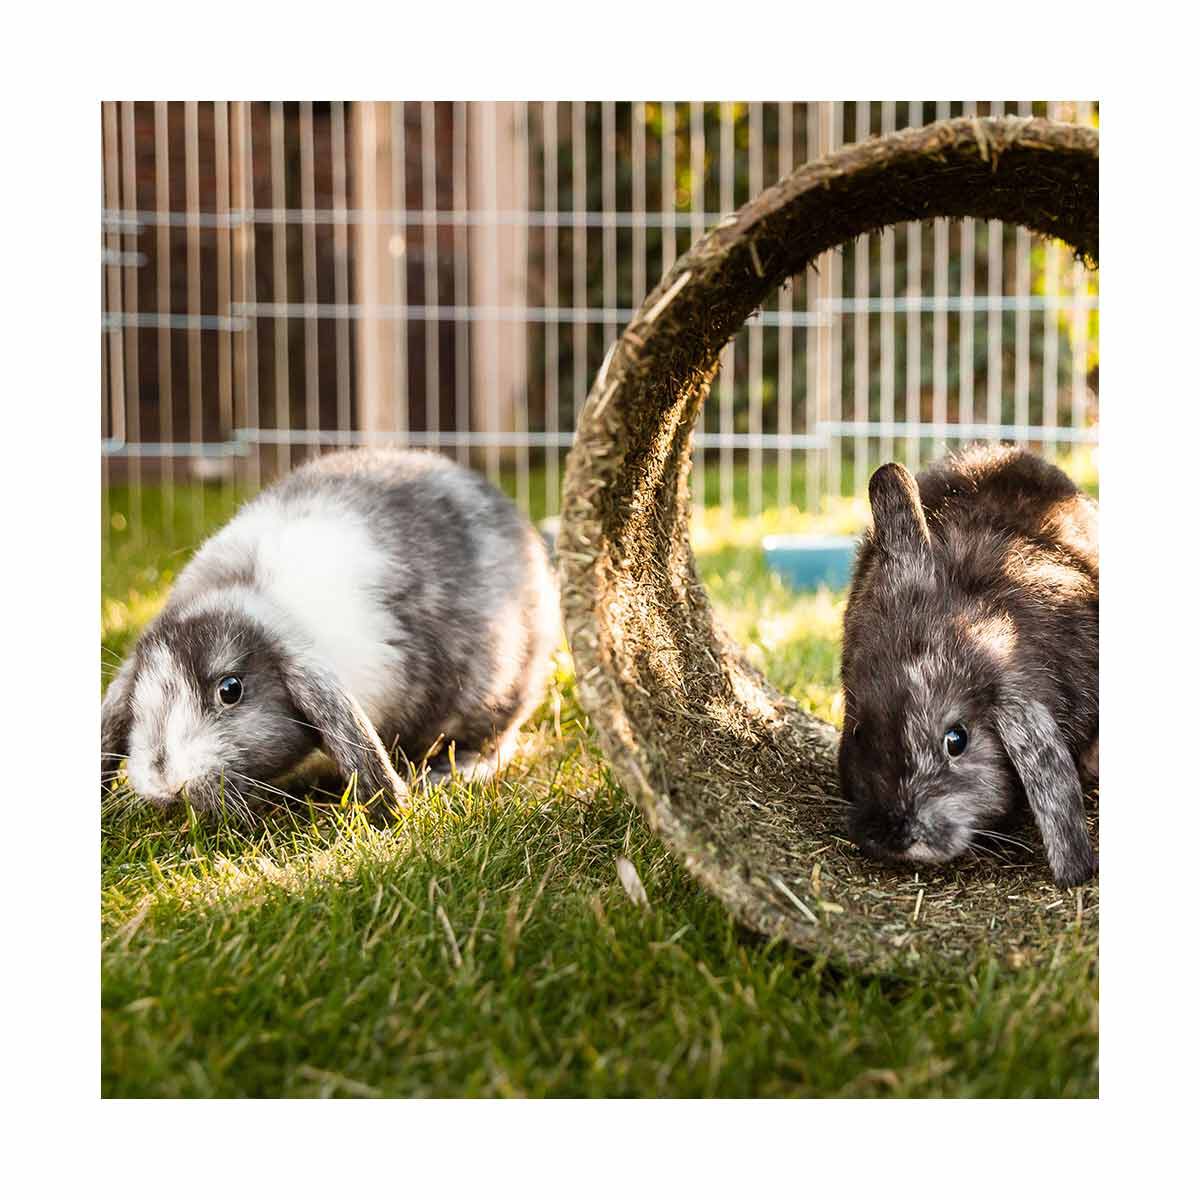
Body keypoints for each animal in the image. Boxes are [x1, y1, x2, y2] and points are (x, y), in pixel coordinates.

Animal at [101, 448, 560, 812]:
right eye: (138, 698)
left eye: (230, 690)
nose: (166, 783)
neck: (250, 591)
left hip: (498, 689)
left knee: (496, 740)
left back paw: (452, 771)